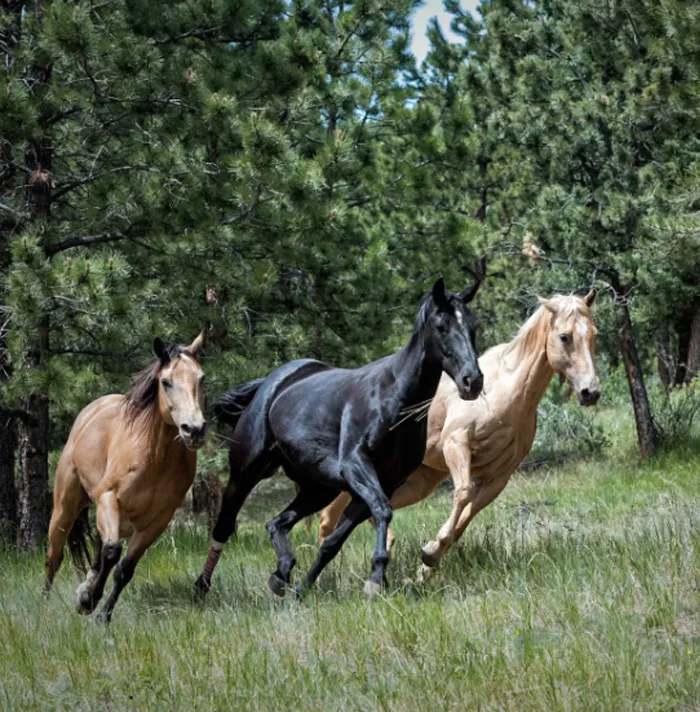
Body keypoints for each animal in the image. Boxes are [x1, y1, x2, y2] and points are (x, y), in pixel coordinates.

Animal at [45, 333, 207, 622]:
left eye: (201, 379)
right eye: (166, 382)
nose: (195, 430)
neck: (155, 458)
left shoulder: (157, 521)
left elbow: (124, 568)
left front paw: (100, 613)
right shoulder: (109, 498)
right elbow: (112, 553)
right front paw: (89, 600)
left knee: (98, 550)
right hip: (65, 510)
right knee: (54, 556)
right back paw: (44, 606)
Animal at [194, 278, 483, 599]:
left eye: (473, 325)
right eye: (442, 326)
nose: (472, 381)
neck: (393, 398)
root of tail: (271, 383)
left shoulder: (379, 483)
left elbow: (333, 542)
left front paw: (303, 588)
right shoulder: (356, 467)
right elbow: (382, 510)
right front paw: (375, 577)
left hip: (318, 488)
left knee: (276, 523)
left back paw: (282, 573)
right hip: (246, 472)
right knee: (224, 525)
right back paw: (202, 587)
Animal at [318, 291, 601, 578]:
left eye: (594, 334)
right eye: (564, 336)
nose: (591, 391)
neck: (505, 393)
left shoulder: (499, 476)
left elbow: (468, 514)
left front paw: (428, 561)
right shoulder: (456, 445)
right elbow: (463, 493)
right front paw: (430, 552)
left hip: (418, 481)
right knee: (330, 515)